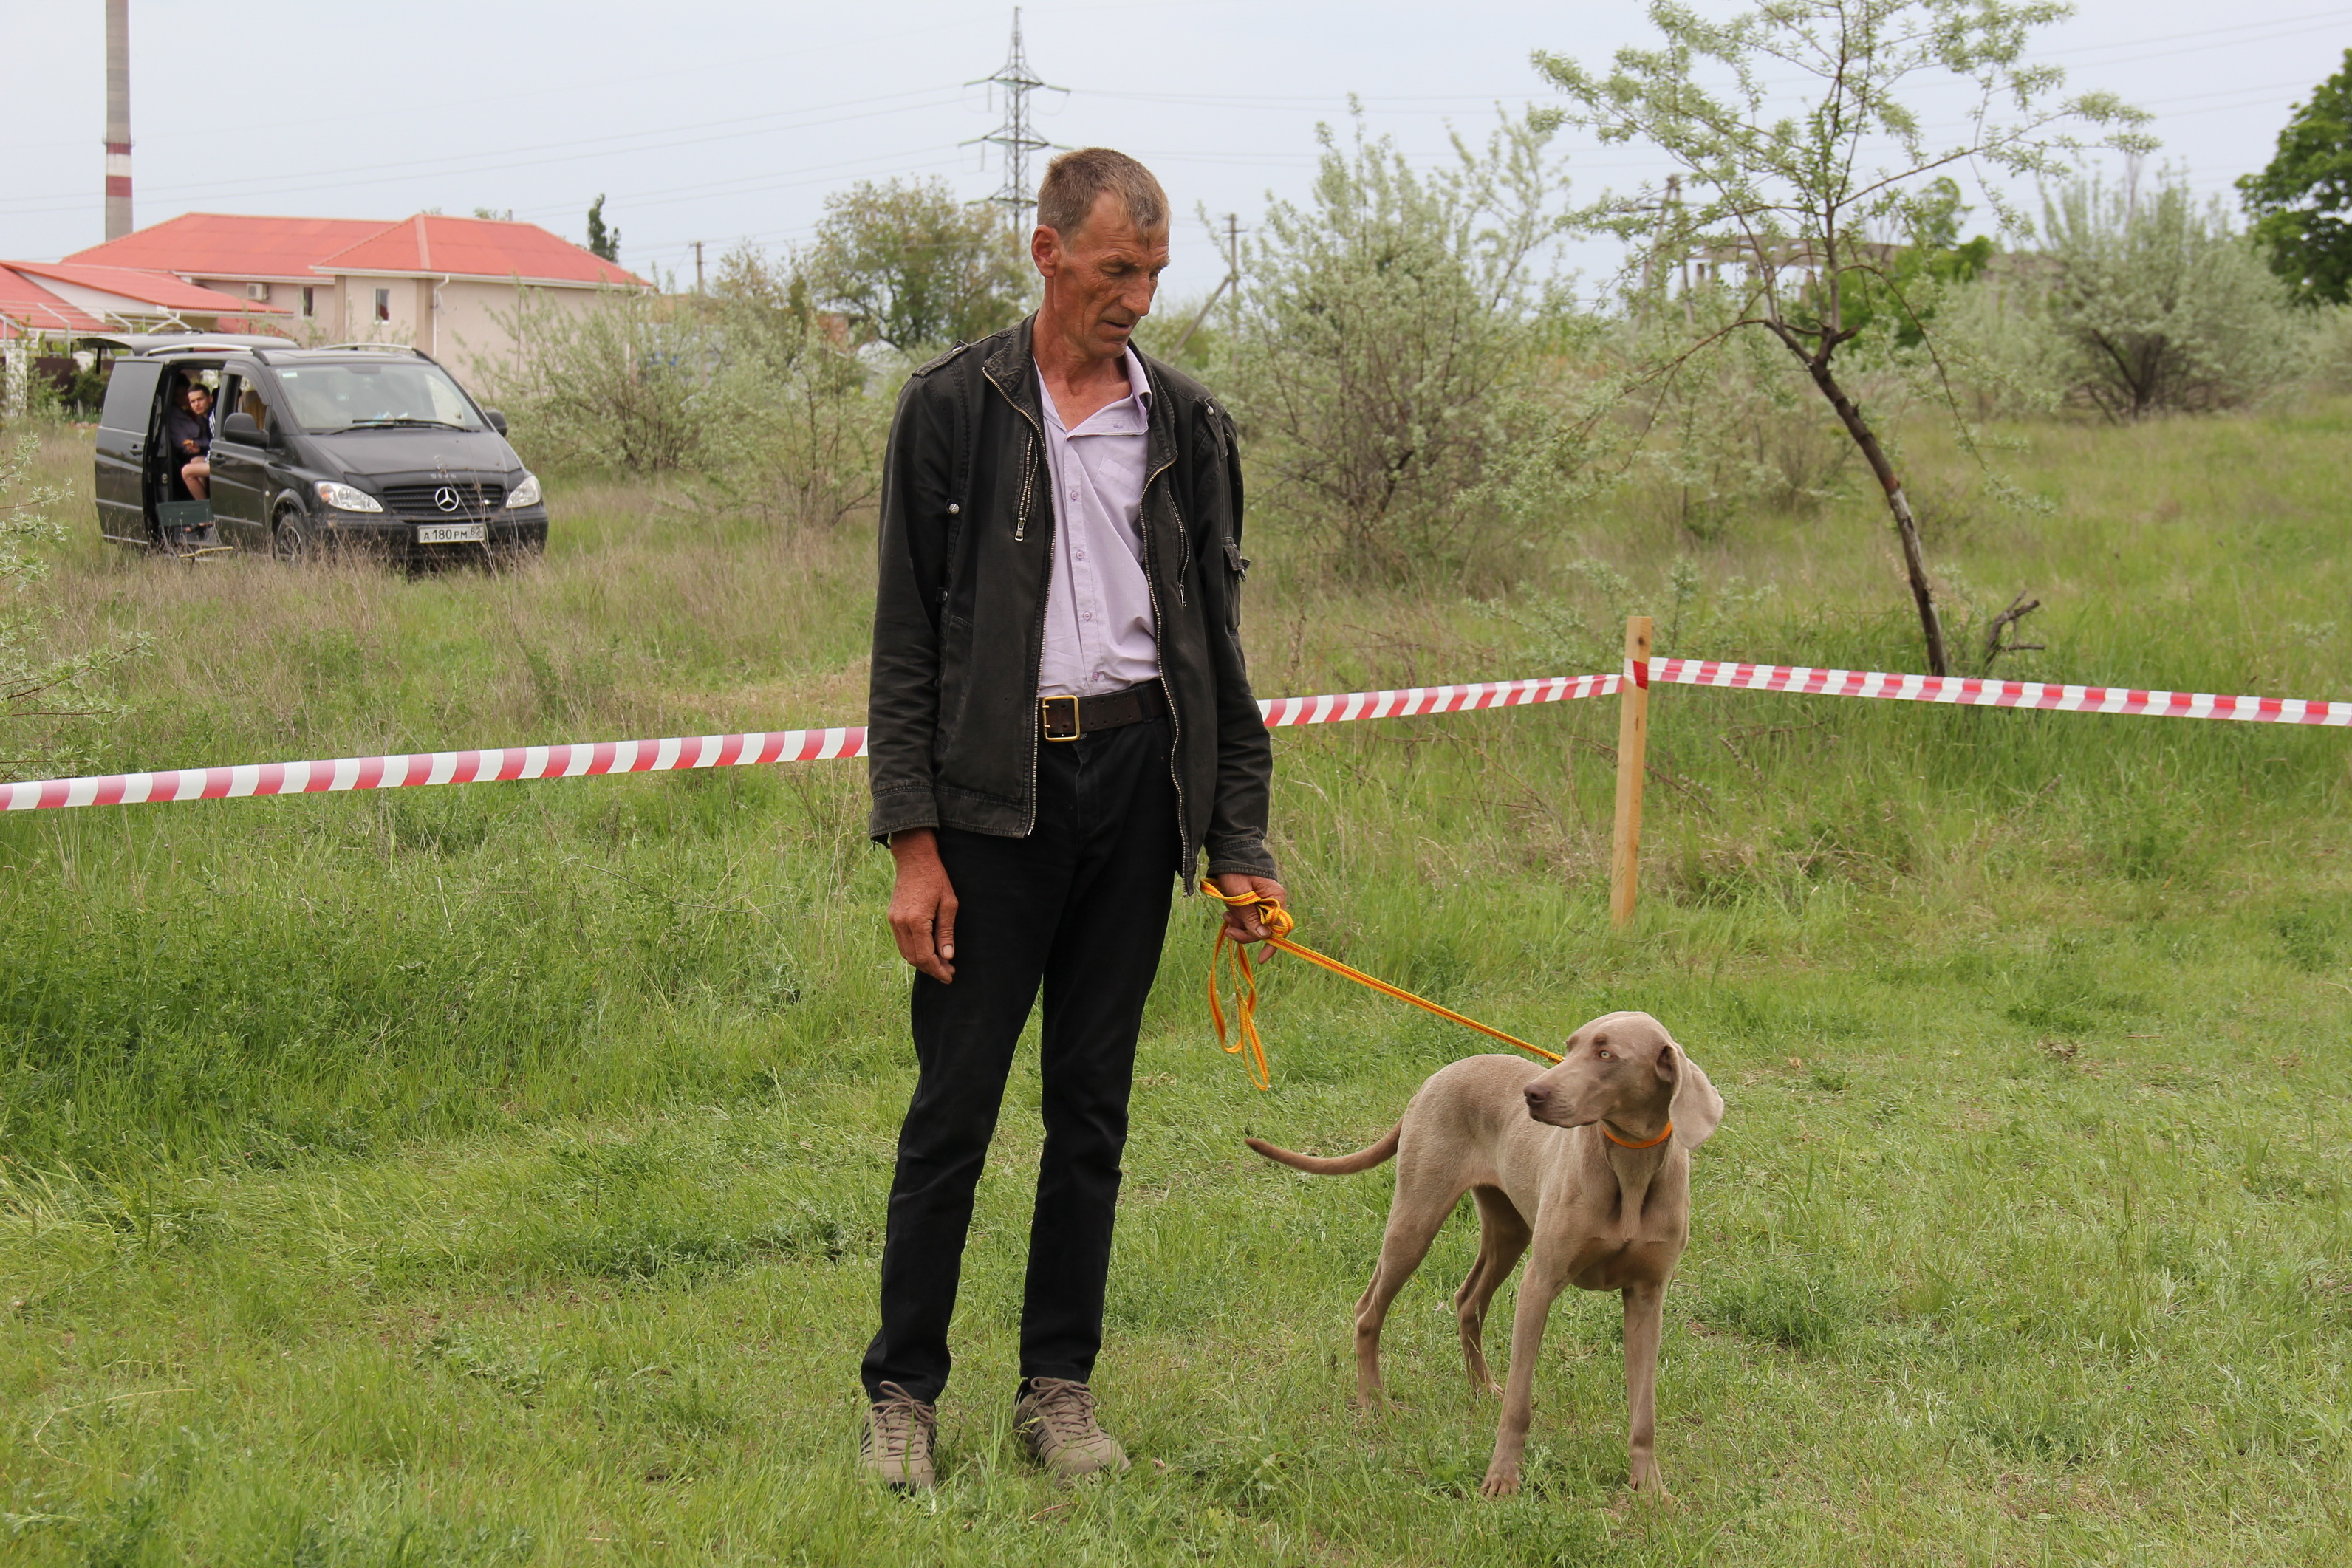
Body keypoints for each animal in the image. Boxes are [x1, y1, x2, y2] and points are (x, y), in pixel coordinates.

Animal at [1247, 1011, 1724, 1496]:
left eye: (1606, 1054)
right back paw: (1374, 1404)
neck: (1630, 1167)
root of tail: (1437, 1076)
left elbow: (1644, 1412)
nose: (1533, 1094)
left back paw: (1480, 1388)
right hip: (1417, 1219)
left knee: (1467, 1300)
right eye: (1570, 1047)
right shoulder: (1540, 1283)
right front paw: (1502, 1479)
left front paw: (1650, 1490)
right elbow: (1519, 1403)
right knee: (1369, 1310)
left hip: (1509, 1232)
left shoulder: (1647, 1295)